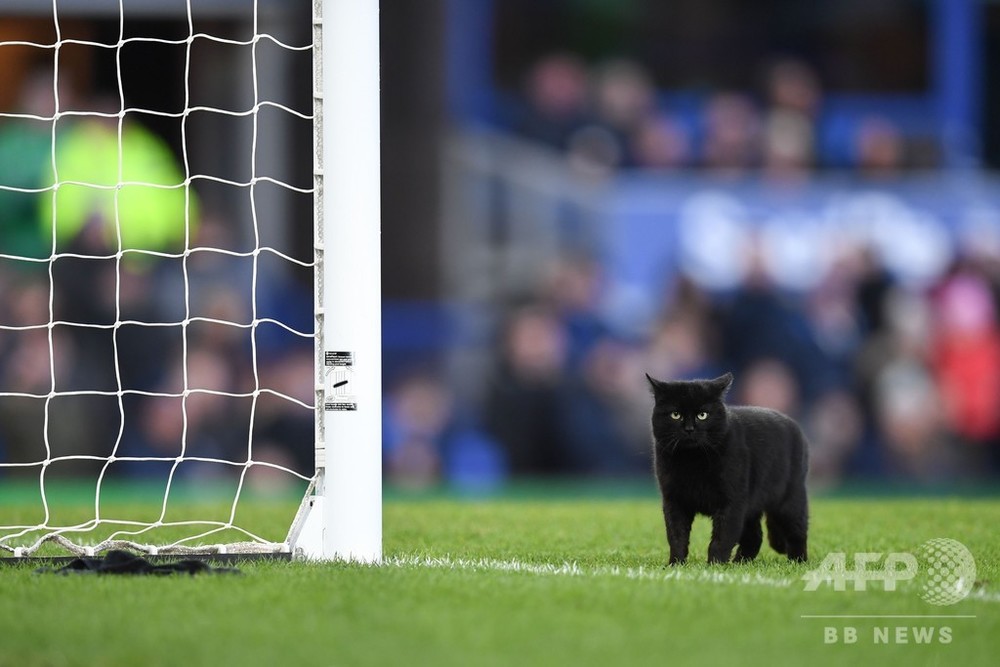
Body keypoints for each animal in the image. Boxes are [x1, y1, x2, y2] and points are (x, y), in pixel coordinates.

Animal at [648, 374, 804, 568]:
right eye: (675, 415)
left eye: (703, 415)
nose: (689, 429)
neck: (693, 461)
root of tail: (793, 424)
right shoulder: (674, 501)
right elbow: (676, 536)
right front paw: (675, 565)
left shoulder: (732, 501)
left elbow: (722, 538)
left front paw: (715, 566)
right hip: (752, 508)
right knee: (755, 536)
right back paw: (740, 564)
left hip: (789, 501)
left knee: (797, 532)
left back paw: (798, 562)